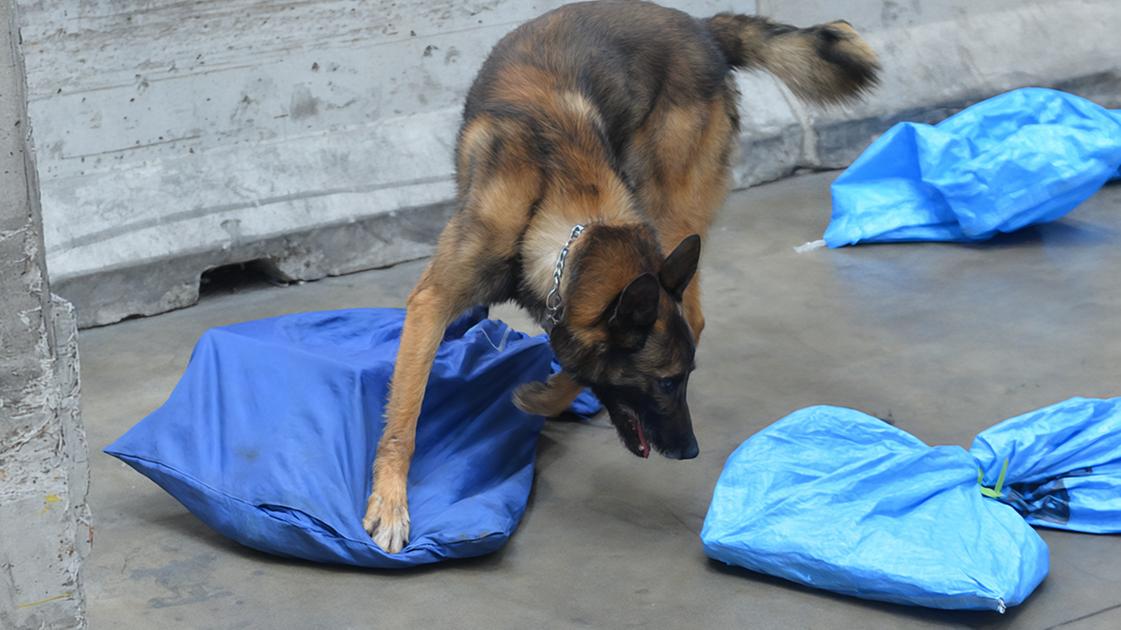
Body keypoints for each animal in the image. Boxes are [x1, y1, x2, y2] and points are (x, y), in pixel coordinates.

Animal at [363, 0, 878, 549]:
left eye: (681, 381)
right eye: (667, 383)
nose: (691, 450)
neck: (562, 228)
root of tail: (702, 28)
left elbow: (577, 362)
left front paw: (544, 396)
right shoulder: (433, 301)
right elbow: (406, 416)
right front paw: (391, 502)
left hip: (672, 208)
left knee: (695, 315)